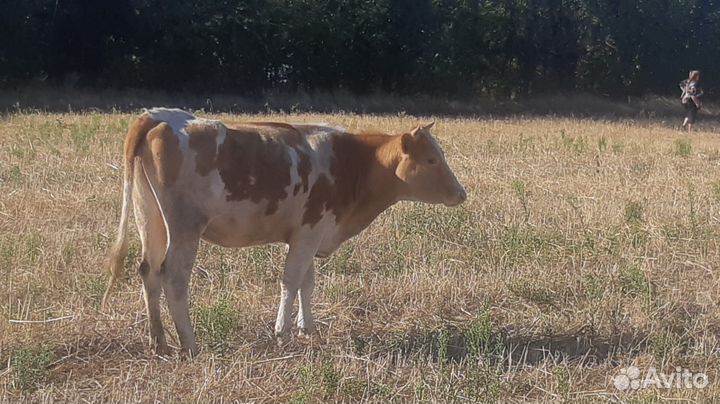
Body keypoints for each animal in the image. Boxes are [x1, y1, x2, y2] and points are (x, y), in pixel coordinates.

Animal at [103, 108, 466, 356]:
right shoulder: (308, 232)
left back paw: (159, 342)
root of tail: (158, 115)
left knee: (148, 270)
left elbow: (307, 282)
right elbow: (291, 281)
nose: (461, 193)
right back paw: (189, 344)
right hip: (185, 226)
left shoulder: (311, 233)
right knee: (174, 277)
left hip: (149, 216)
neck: (352, 164)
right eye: (431, 160)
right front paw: (282, 331)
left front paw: (308, 328)